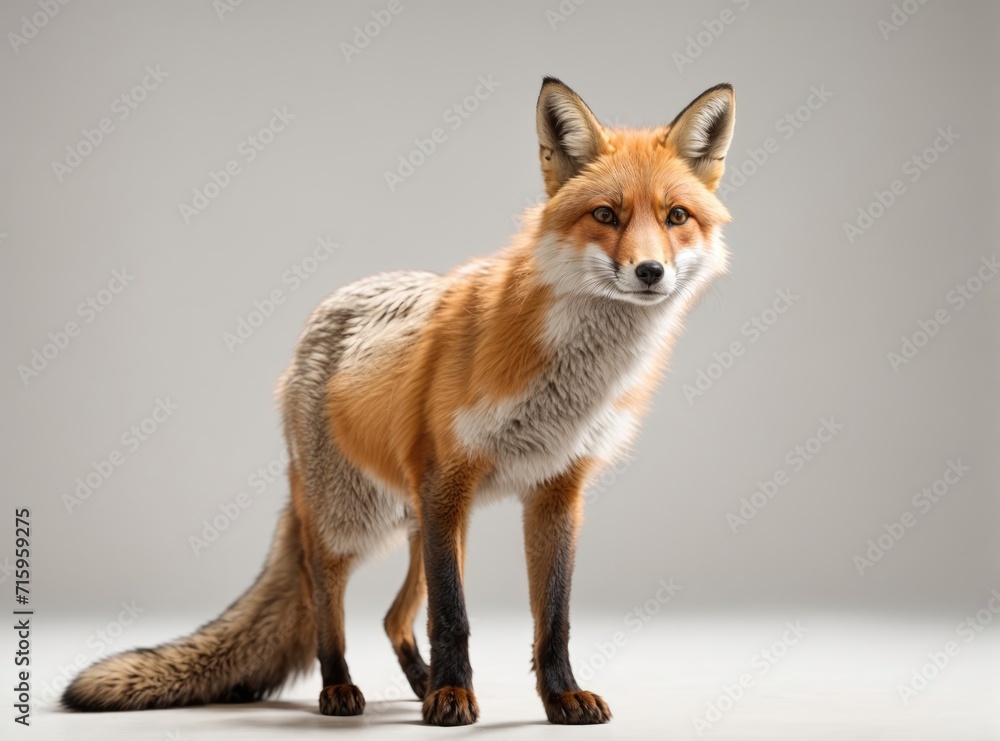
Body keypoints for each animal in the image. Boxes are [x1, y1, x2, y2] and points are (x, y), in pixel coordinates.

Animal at [62, 77, 736, 726]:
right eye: (606, 214)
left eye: (676, 216)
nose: (650, 272)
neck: (570, 381)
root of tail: (327, 311)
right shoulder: (449, 475)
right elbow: (452, 615)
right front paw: (452, 699)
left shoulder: (554, 489)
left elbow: (553, 617)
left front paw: (558, 697)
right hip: (356, 515)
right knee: (324, 593)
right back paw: (340, 687)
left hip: (419, 516)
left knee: (393, 615)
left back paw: (418, 682)